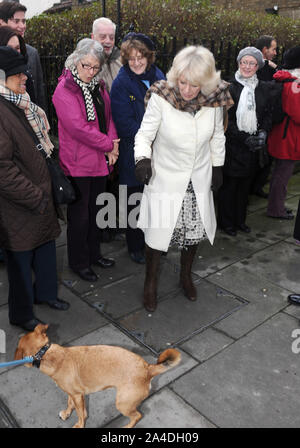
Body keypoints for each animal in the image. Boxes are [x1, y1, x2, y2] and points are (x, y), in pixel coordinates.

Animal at [14, 324, 180, 428]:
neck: (46, 353)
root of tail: (148, 369)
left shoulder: (78, 396)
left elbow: (81, 414)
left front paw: (79, 425)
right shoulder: (74, 394)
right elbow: (70, 404)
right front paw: (67, 414)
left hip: (123, 403)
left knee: (137, 416)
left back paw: (126, 427)